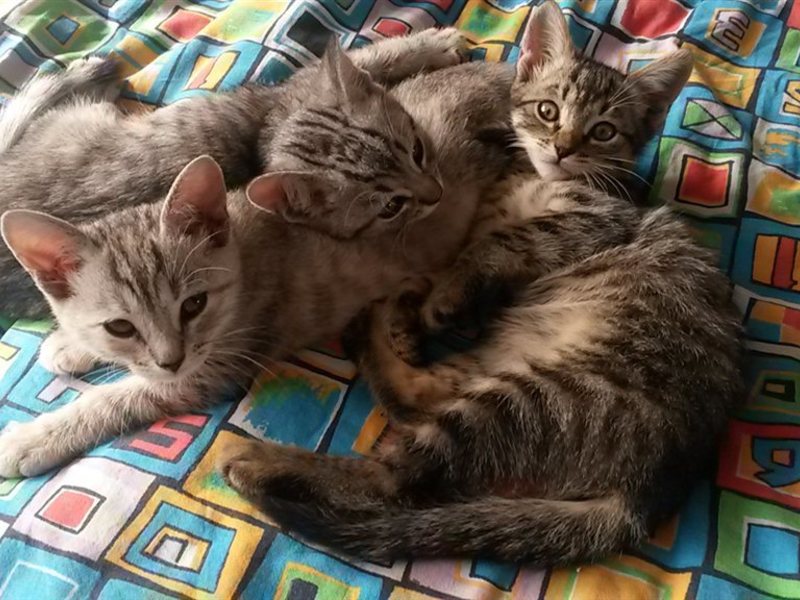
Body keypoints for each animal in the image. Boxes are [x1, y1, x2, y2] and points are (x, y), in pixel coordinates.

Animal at [0, 28, 468, 317]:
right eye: (389, 208)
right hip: (77, 119)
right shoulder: (293, 85)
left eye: (418, 150)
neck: (269, 133)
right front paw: (429, 44)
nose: (437, 194)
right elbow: (371, 56)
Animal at [216, 1, 744, 566]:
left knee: (398, 478)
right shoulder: (476, 218)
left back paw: (258, 464)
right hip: (504, 367)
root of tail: (646, 499)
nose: (562, 149)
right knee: (412, 397)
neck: (533, 181)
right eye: (548, 111)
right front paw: (410, 311)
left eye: (603, 131)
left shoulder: (597, 221)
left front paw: (444, 297)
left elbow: (500, 244)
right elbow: (448, 257)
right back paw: (372, 332)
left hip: (543, 401)